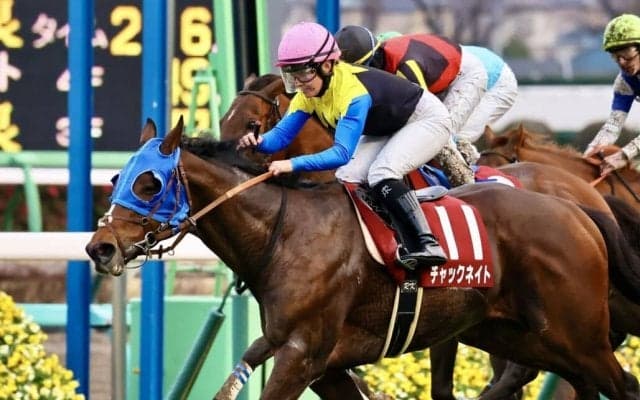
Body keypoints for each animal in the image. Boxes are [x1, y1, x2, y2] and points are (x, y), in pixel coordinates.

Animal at [85, 117, 640, 400]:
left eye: (149, 182)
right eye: (116, 178)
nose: (99, 247)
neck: (287, 235)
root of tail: (577, 209)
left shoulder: (303, 353)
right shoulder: (319, 363)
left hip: (579, 335)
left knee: (619, 385)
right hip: (515, 335)